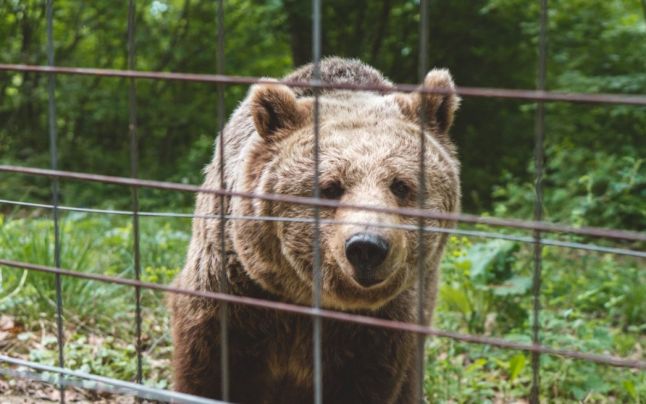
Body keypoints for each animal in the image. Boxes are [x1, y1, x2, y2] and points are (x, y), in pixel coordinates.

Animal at [170, 57, 464, 404]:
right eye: (331, 187)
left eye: (400, 185)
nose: (367, 246)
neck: (303, 296)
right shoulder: (236, 293)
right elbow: (212, 372)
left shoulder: (378, 328)